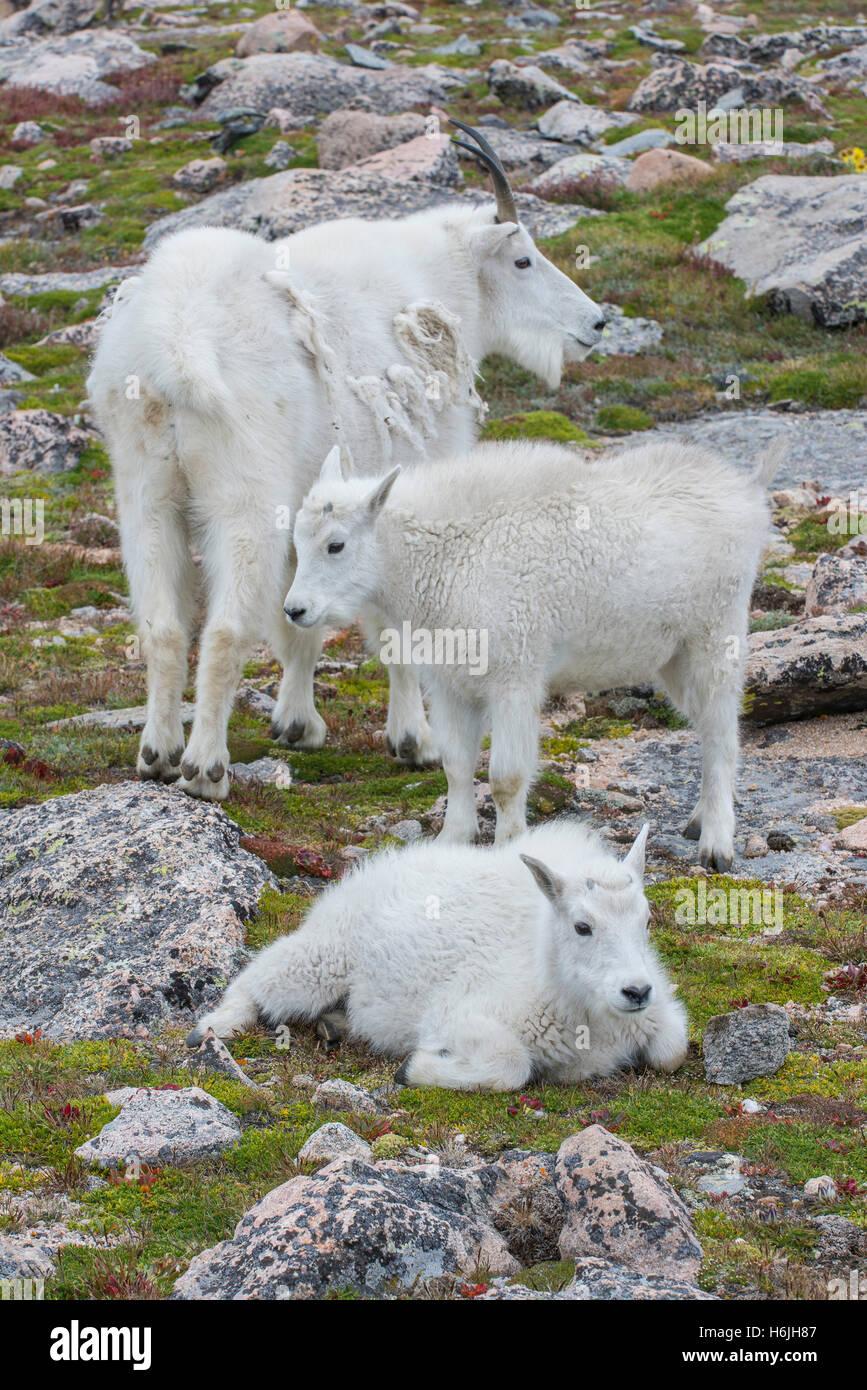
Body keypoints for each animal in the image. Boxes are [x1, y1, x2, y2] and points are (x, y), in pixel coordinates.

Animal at [86, 125, 603, 800]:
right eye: (523, 261)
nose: (596, 322)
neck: (443, 285)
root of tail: (173, 345)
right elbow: (394, 628)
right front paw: (414, 740)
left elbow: (301, 619)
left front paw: (297, 725)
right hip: (245, 493)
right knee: (224, 630)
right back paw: (205, 767)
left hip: (145, 487)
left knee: (162, 625)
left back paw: (158, 753)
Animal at [186, 817, 686, 1089]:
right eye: (583, 927)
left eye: (646, 921)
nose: (636, 991)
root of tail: (369, 871)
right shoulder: (459, 1015)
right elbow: (511, 1065)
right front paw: (413, 1069)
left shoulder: (662, 1016)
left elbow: (673, 1051)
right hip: (324, 956)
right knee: (257, 978)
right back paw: (215, 1026)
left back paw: (335, 1025)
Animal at [284, 436, 783, 867]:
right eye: (297, 541)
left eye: (336, 544)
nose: (295, 609)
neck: (444, 557)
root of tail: (745, 491)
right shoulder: (451, 683)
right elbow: (456, 765)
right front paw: (452, 840)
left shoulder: (514, 676)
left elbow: (505, 778)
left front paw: (509, 845)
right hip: (673, 656)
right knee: (703, 725)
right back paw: (699, 819)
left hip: (716, 635)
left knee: (722, 734)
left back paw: (717, 844)